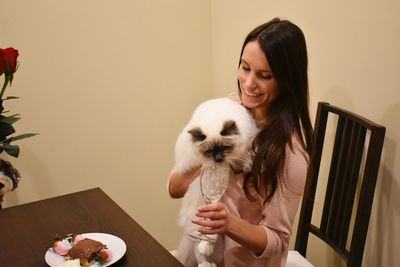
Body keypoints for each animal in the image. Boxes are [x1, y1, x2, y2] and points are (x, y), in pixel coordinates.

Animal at [173, 98, 258, 267]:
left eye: (225, 148)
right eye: (210, 151)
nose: (218, 159)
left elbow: (243, 156)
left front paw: (245, 165)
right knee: (200, 242)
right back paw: (206, 256)